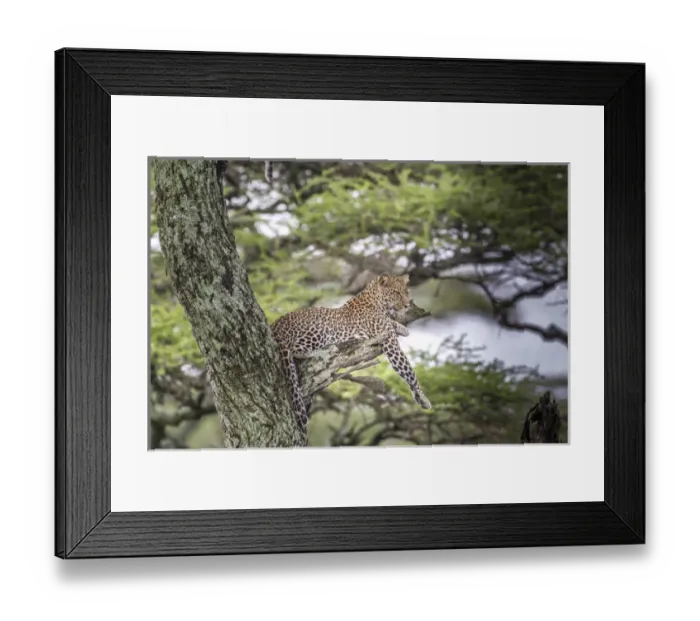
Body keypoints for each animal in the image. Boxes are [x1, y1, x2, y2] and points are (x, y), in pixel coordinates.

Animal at [270, 272, 432, 429]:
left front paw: (403, 328)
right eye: (396, 293)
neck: (377, 302)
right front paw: (422, 398)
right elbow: (408, 371)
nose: (406, 305)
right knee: (296, 350)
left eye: (406, 292)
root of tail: (277, 323)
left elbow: (393, 324)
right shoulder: (389, 340)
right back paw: (324, 351)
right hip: (320, 331)